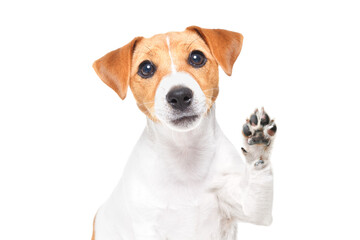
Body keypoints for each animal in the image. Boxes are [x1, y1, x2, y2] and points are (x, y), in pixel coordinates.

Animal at [91, 26, 278, 240]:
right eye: (146, 68)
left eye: (197, 57)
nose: (179, 96)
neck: (186, 152)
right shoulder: (147, 225)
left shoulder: (248, 206)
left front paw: (258, 142)